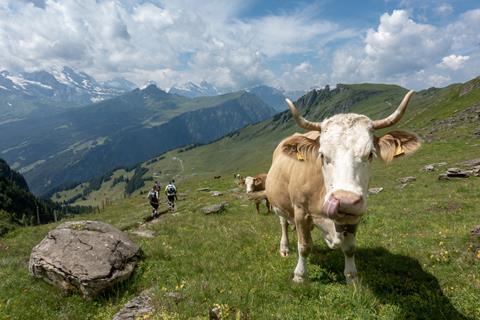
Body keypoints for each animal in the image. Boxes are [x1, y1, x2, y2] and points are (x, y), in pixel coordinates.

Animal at [266, 91, 420, 284]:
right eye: (322, 155)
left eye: (370, 154)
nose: (345, 201)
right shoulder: (301, 210)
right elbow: (304, 246)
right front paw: (300, 275)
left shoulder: (355, 215)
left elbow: (350, 248)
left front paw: (352, 278)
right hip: (280, 206)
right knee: (284, 224)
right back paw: (284, 248)